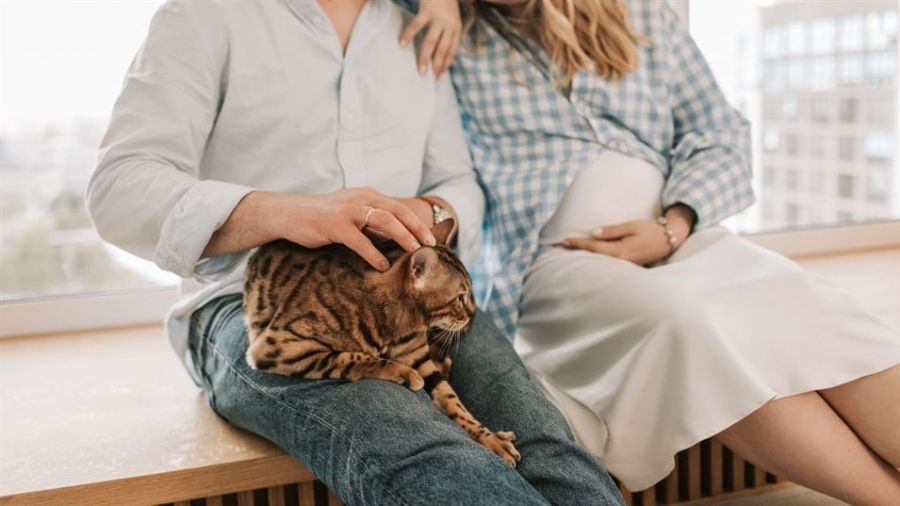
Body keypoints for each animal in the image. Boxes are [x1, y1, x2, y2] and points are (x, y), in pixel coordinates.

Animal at [242, 219, 521, 467]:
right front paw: (403, 373)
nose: (473, 314)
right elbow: (352, 357)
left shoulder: (419, 358)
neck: (398, 323)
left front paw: (491, 439)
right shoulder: (280, 345)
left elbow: (455, 403)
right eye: (460, 297)